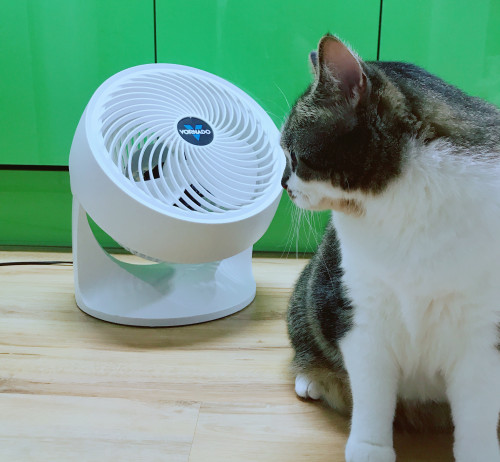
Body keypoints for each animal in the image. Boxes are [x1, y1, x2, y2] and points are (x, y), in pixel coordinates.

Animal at [281, 34, 500, 462]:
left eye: (293, 155)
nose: (283, 184)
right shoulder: (361, 313)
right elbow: (371, 397)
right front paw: (370, 449)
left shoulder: (485, 333)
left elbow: (479, 412)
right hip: (309, 295)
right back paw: (311, 379)